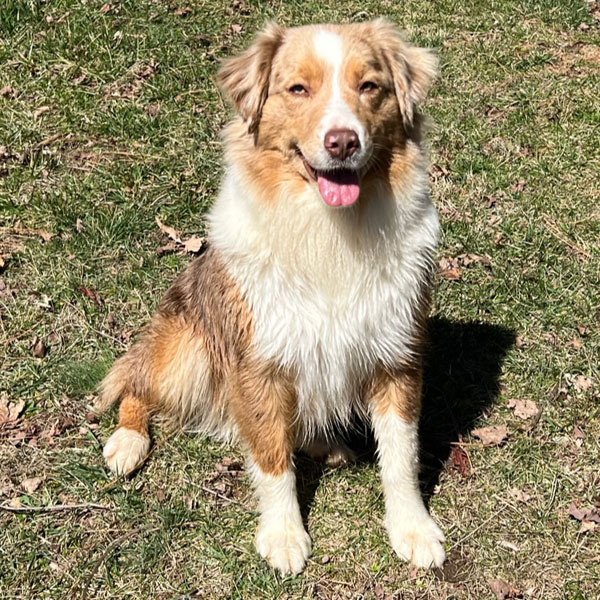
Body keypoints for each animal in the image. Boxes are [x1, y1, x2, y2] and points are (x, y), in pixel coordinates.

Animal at [97, 17, 446, 572]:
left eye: (370, 86)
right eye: (297, 89)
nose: (343, 141)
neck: (330, 230)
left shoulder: (398, 354)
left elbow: (400, 456)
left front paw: (412, 528)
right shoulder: (259, 363)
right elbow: (271, 458)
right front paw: (283, 535)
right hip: (188, 348)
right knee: (137, 381)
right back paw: (127, 441)